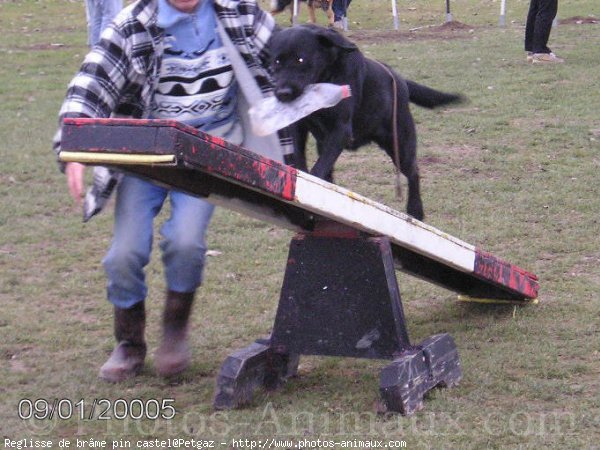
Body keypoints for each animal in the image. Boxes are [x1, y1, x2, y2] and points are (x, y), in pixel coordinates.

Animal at [268, 24, 464, 221]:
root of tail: (401, 80)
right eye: (276, 62)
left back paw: (416, 210)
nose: (283, 93)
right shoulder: (299, 127)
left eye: (300, 60)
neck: (324, 79)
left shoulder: (341, 129)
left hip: (400, 144)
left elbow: (318, 169)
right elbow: (301, 161)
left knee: (413, 172)